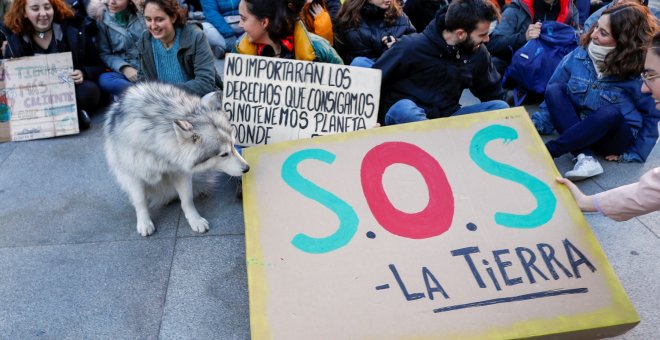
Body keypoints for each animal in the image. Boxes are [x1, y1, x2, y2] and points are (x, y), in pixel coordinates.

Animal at [104, 82, 249, 236]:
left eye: (234, 145)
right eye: (223, 154)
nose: (247, 168)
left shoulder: (180, 171)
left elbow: (187, 199)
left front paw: (195, 220)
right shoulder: (132, 174)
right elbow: (140, 200)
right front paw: (144, 222)